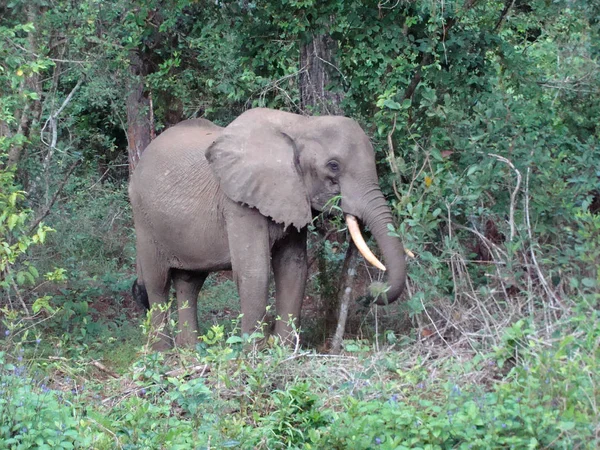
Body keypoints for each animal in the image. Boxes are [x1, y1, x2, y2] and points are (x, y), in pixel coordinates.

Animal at [128, 107, 406, 350]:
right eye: (334, 166)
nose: (371, 291)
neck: (301, 124)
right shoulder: (238, 202)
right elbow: (255, 270)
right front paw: (255, 354)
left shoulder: (292, 195)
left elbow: (293, 268)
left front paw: (283, 350)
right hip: (143, 218)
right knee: (158, 283)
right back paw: (163, 353)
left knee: (189, 283)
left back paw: (190, 350)